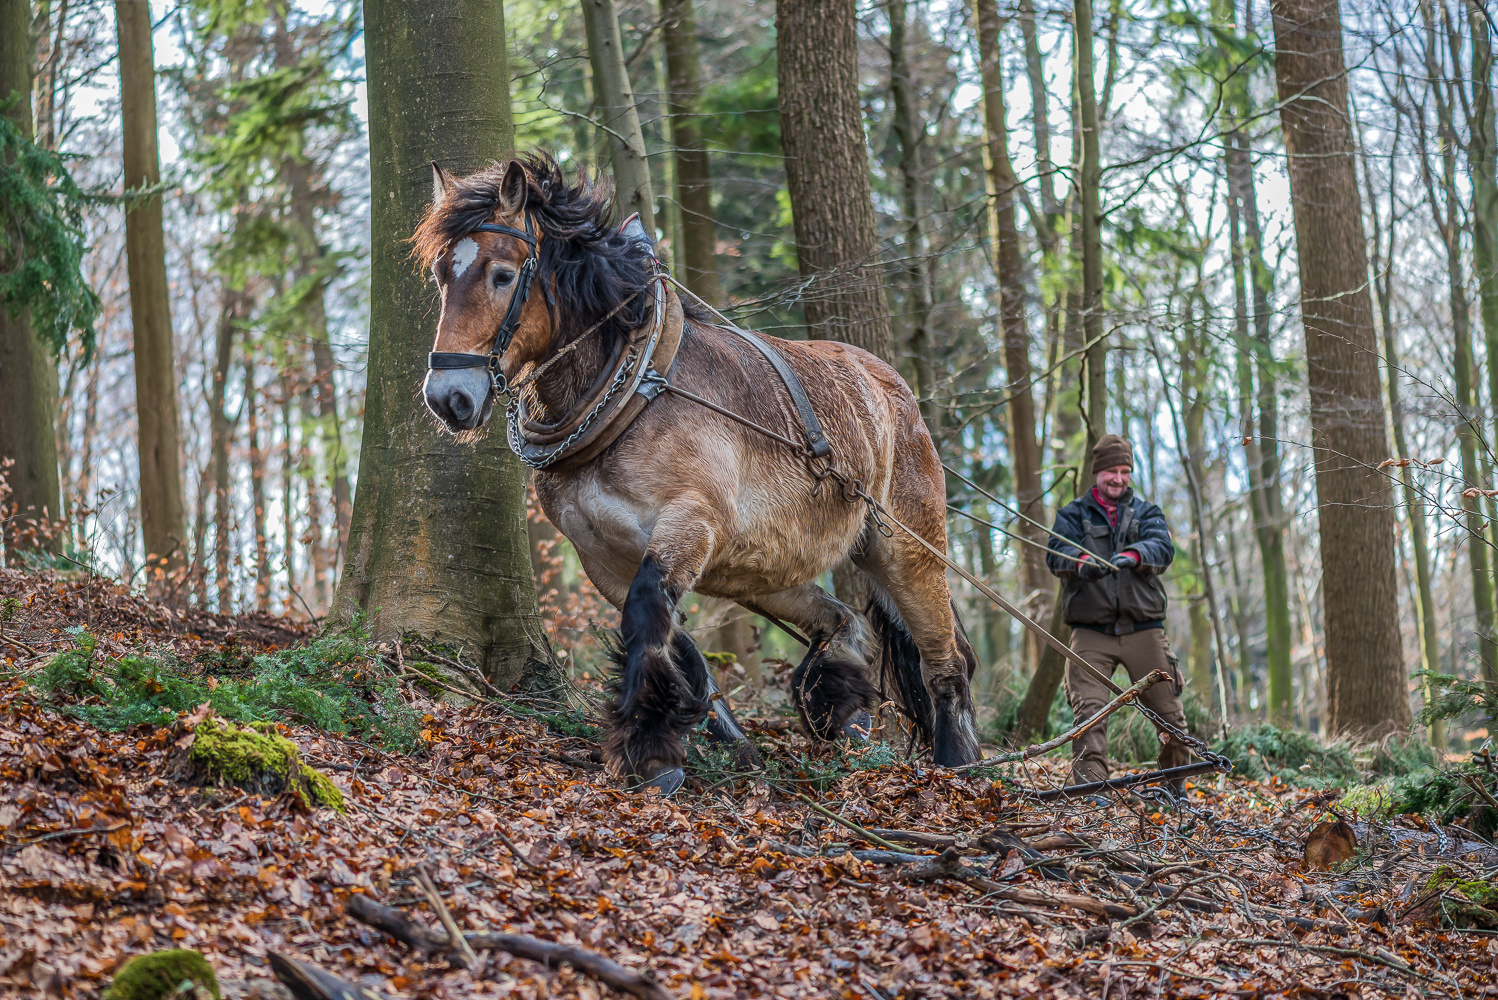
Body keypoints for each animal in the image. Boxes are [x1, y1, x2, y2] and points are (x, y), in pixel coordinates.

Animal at [419, 152, 982, 790]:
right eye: (441, 275)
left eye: (502, 274)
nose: (448, 398)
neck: (634, 393)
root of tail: (895, 391)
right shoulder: (601, 557)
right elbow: (676, 641)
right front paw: (724, 744)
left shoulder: (693, 521)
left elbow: (646, 615)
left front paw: (649, 751)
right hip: (762, 571)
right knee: (843, 622)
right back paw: (843, 707)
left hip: (904, 549)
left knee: (946, 660)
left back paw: (960, 765)